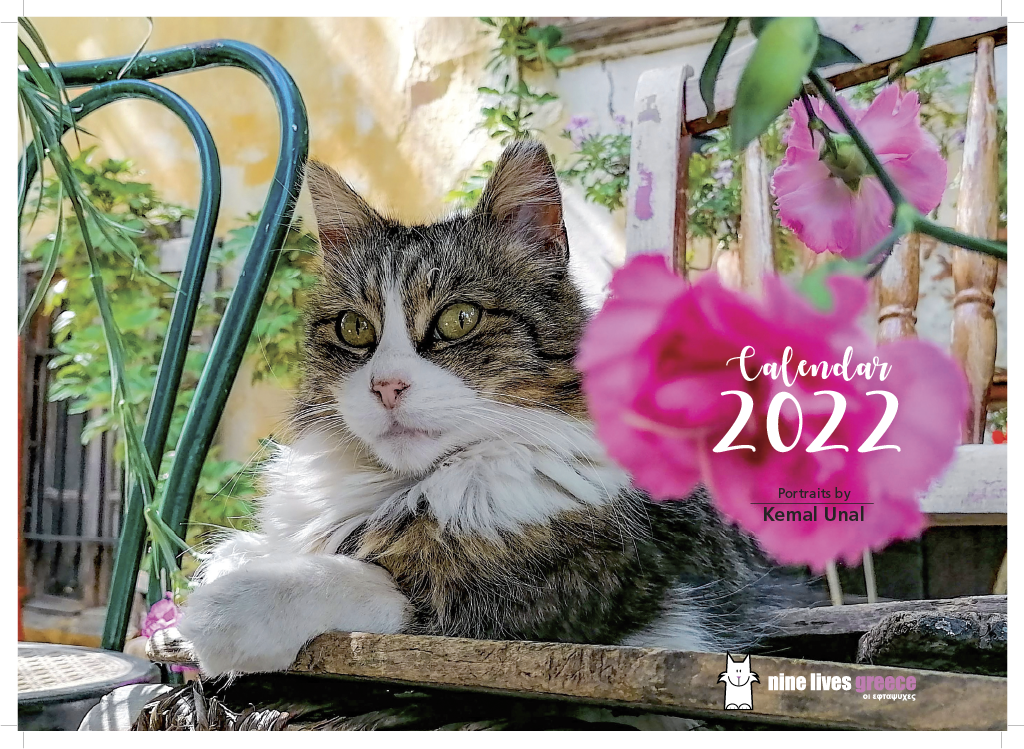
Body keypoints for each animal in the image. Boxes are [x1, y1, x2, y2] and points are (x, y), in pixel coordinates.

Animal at [178, 137, 782, 676]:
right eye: (355, 329)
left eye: (459, 319)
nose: (386, 386)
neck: (407, 488)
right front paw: (235, 561)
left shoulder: (566, 592)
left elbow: (369, 579)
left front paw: (227, 609)